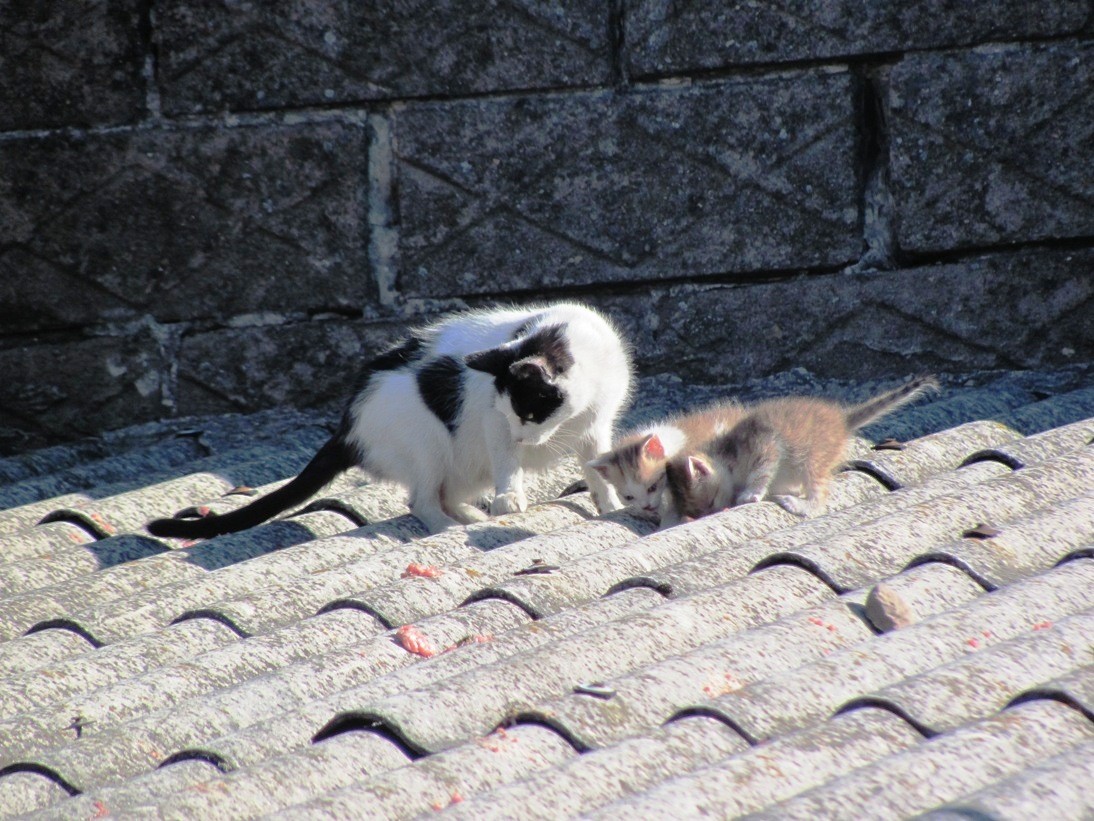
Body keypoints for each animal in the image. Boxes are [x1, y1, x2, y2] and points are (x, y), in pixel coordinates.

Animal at [149, 304, 638, 540]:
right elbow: (506, 464)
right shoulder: (491, 423)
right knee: (420, 500)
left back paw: (466, 515)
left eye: (531, 412)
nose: (523, 438)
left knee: (443, 493)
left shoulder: (596, 427)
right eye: (516, 415)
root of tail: (347, 423)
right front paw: (509, 499)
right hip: (428, 441)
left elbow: (597, 469)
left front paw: (610, 505)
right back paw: (449, 527)